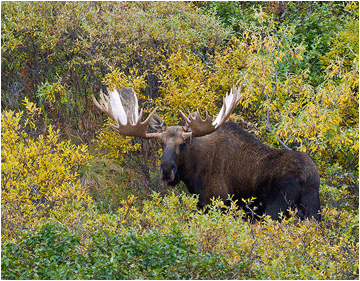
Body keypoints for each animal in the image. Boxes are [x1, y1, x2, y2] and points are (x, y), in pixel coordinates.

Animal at [93, 86, 320, 220]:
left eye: (183, 143)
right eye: (161, 143)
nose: (166, 170)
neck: (192, 173)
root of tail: (308, 177)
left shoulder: (214, 201)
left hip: (275, 209)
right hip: (312, 209)